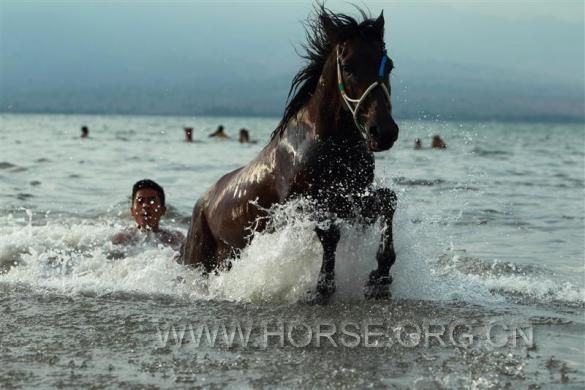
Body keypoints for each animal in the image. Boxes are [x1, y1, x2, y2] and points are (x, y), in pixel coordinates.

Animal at [182, 7, 400, 304]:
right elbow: (329, 234)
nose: (384, 132)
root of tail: (200, 205)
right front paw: (323, 288)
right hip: (200, 262)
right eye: (348, 66)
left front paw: (380, 276)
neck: (329, 145)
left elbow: (388, 202)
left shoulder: (352, 198)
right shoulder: (307, 203)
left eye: (388, 65)